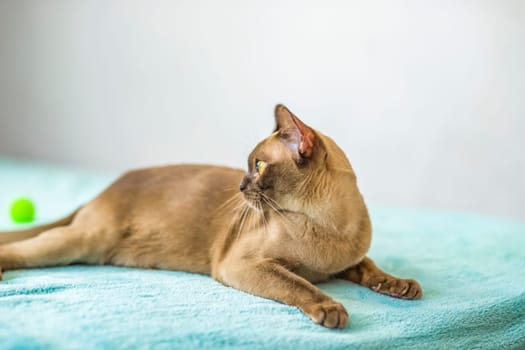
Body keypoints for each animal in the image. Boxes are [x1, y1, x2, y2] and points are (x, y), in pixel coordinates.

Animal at [0, 105, 420, 330]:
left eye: (258, 165)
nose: (240, 185)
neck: (328, 226)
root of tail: (107, 186)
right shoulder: (244, 264)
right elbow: (298, 284)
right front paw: (331, 309)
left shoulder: (344, 261)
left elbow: (369, 267)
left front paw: (401, 286)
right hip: (84, 241)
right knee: (23, 249)